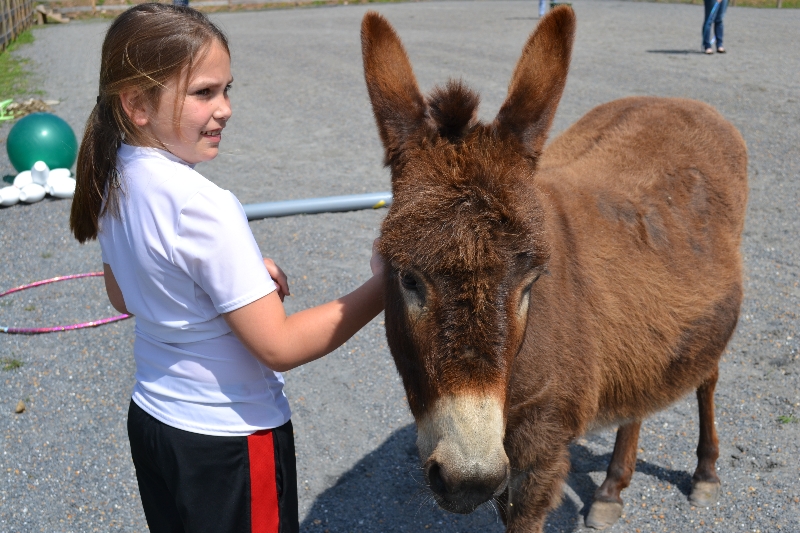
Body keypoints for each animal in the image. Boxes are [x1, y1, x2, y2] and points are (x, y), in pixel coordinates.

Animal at [361, 6, 747, 532]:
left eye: (531, 282)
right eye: (407, 278)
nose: (468, 479)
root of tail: (681, 101)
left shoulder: (541, 453)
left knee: (707, 376)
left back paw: (705, 472)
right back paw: (611, 488)